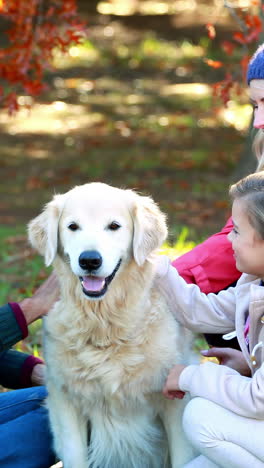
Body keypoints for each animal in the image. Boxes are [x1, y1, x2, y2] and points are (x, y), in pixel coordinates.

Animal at [28, 182, 196, 468]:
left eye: (114, 226)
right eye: (73, 226)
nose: (89, 260)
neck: (104, 324)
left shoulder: (174, 401)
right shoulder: (65, 400)